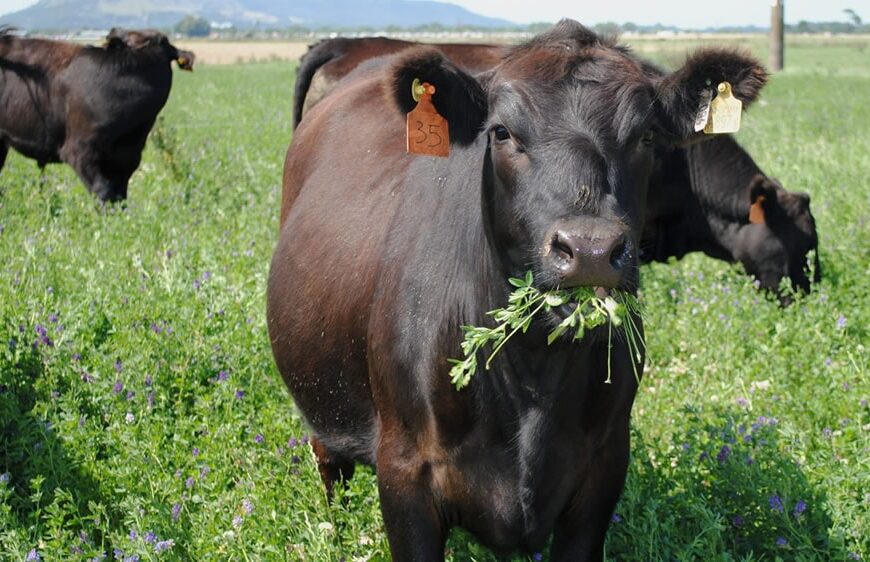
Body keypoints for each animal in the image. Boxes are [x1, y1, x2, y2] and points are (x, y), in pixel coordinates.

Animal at [268, 19, 768, 556]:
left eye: (646, 135)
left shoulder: (604, 469)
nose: (590, 250)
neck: (533, 371)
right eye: (502, 132)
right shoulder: (404, 472)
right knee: (330, 469)